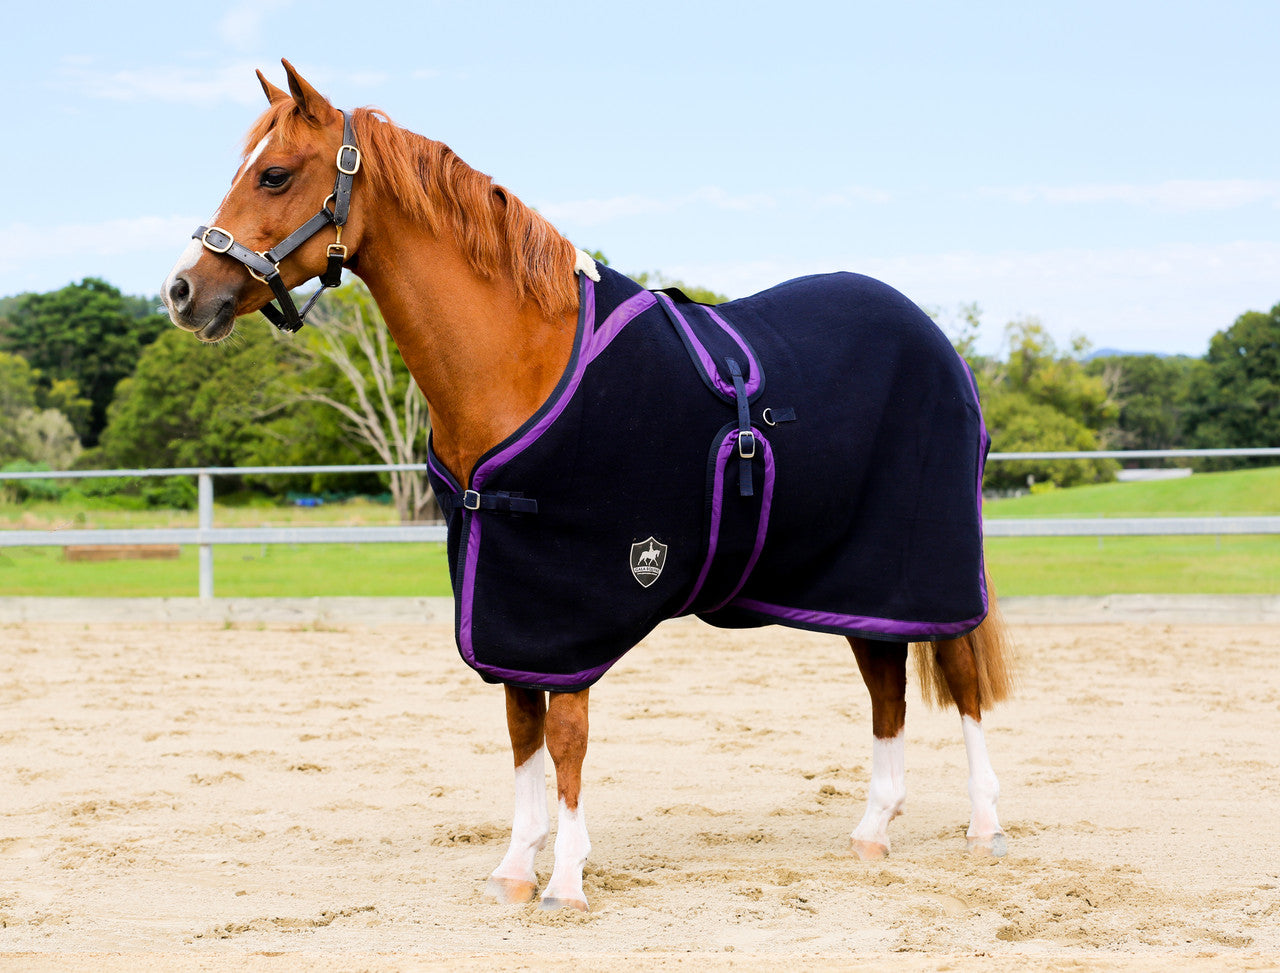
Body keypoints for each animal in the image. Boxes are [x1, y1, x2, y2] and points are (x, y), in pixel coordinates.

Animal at [162, 60, 1018, 911]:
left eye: (274, 175)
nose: (181, 292)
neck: (520, 356)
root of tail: (938, 342)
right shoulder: (507, 598)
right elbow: (522, 729)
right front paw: (517, 865)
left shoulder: (572, 601)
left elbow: (566, 735)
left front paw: (567, 878)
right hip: (863, 582)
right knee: (886, 687)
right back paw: (874, 830)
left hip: (931, 565)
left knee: (963, 682)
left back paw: (985, 826)